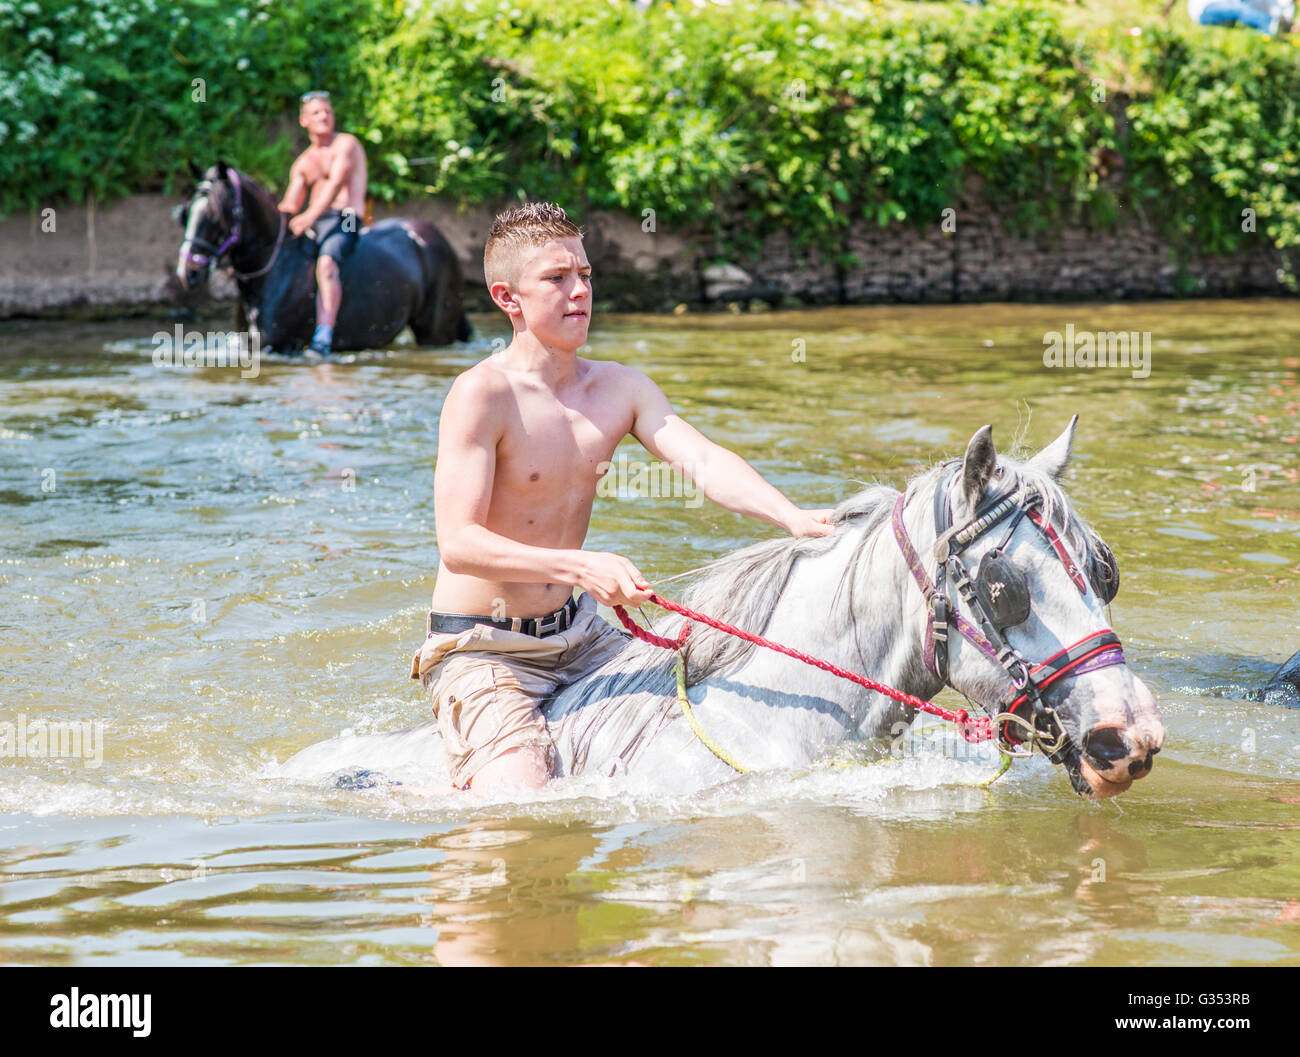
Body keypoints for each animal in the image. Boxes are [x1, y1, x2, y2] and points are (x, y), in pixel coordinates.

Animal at [174, 161, 471, 353]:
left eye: (215, 216)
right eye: (186, 213)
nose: (187, 271)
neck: (274, 270)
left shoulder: (281, 347)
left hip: (435, 332)